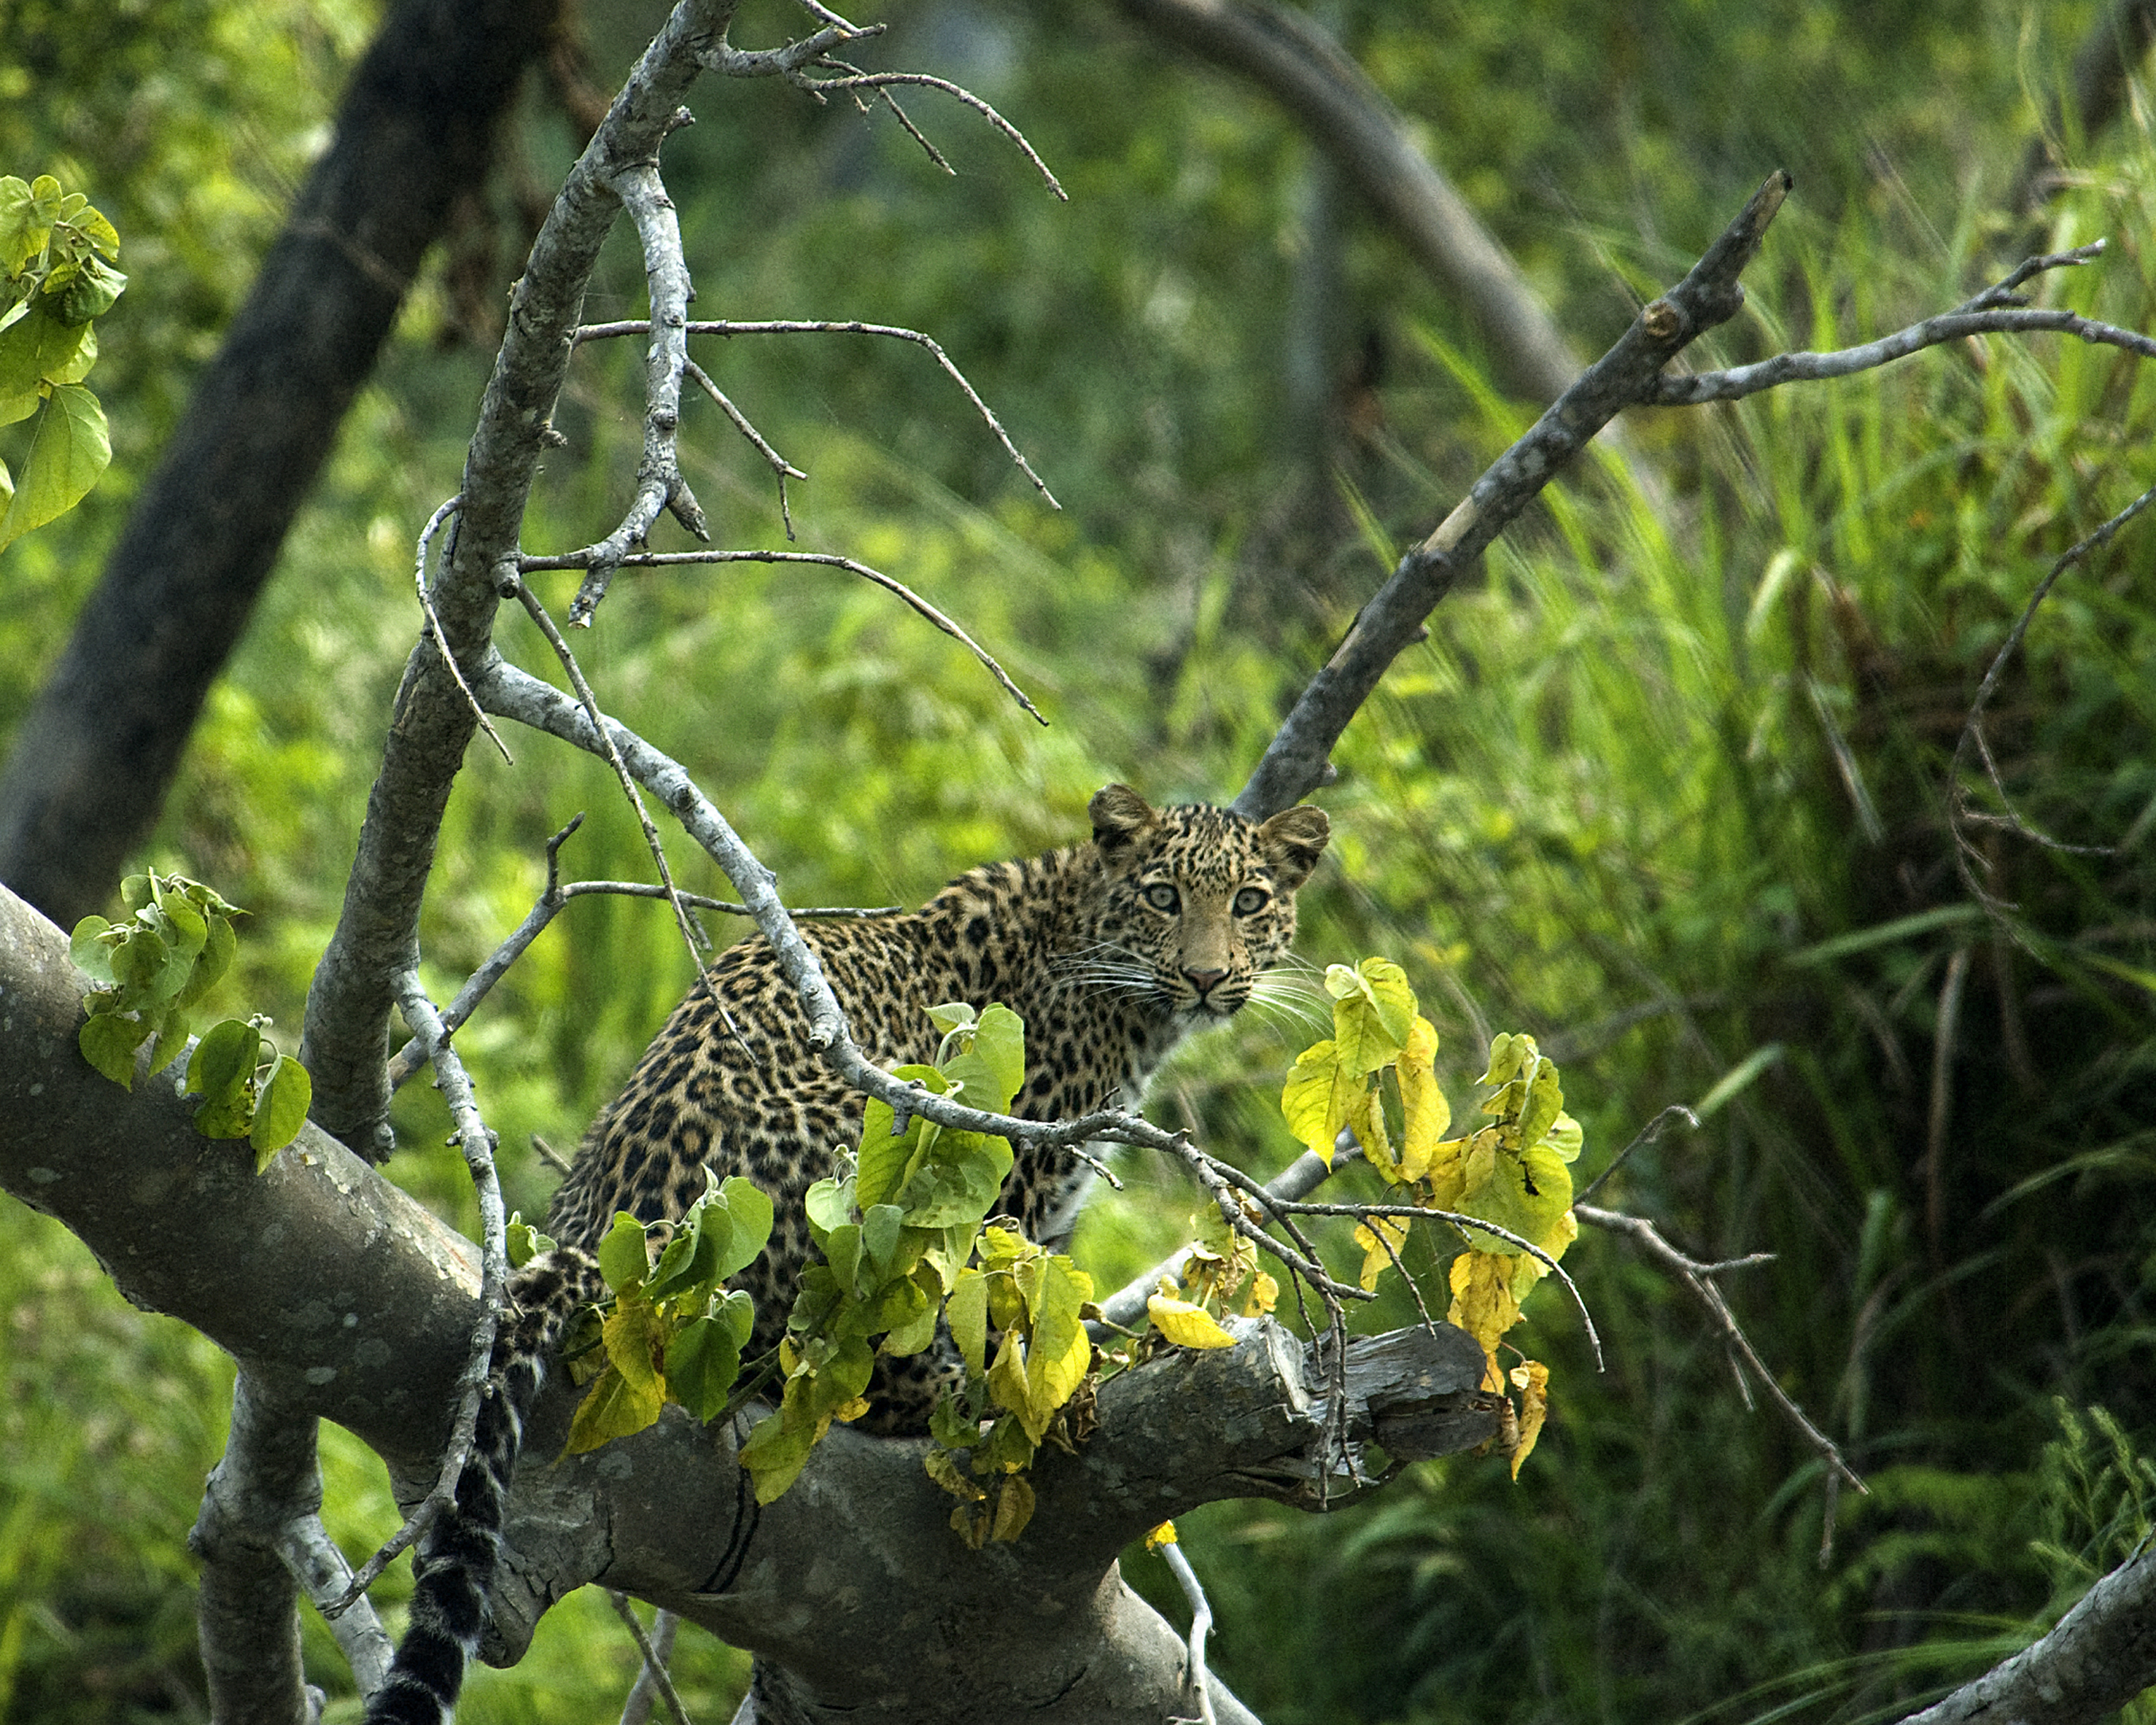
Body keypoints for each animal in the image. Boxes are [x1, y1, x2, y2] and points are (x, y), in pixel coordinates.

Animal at [364, 784, 1330, 1725]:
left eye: (1250, 902)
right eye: (1163, 896)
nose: (1207, 976)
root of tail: (636, 1222)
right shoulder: (1023, 1173)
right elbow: (1003, 1306)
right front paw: (1030, 1392)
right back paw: (943, 1392)